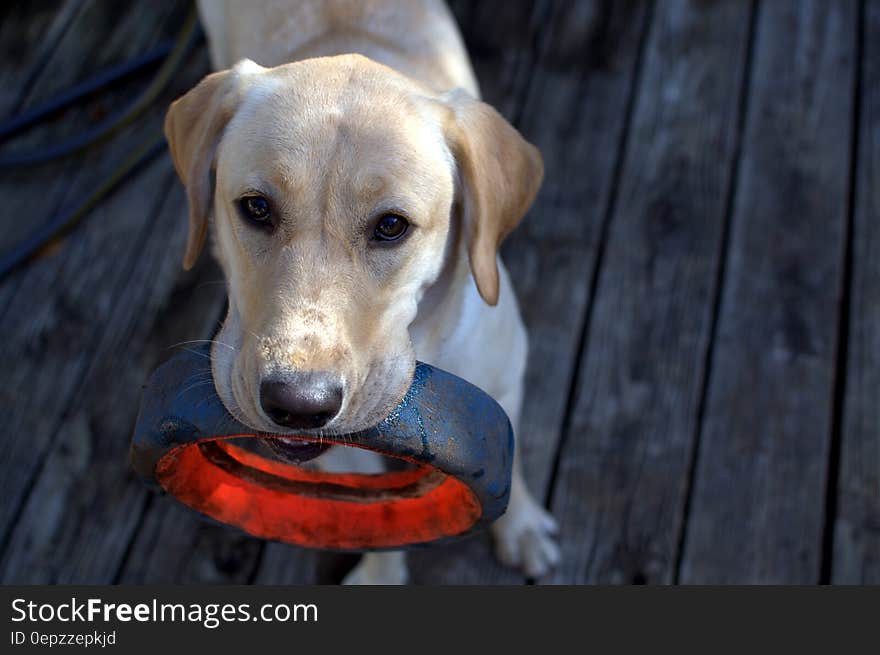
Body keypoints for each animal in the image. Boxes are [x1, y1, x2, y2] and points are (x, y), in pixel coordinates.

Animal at [166, 0, 560, 584]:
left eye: (392, 226)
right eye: (256, 208)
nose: (298, 404)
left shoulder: (506, 384)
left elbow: (516, 466)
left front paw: (524, 527)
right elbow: (378, 517)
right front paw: (381, 575)